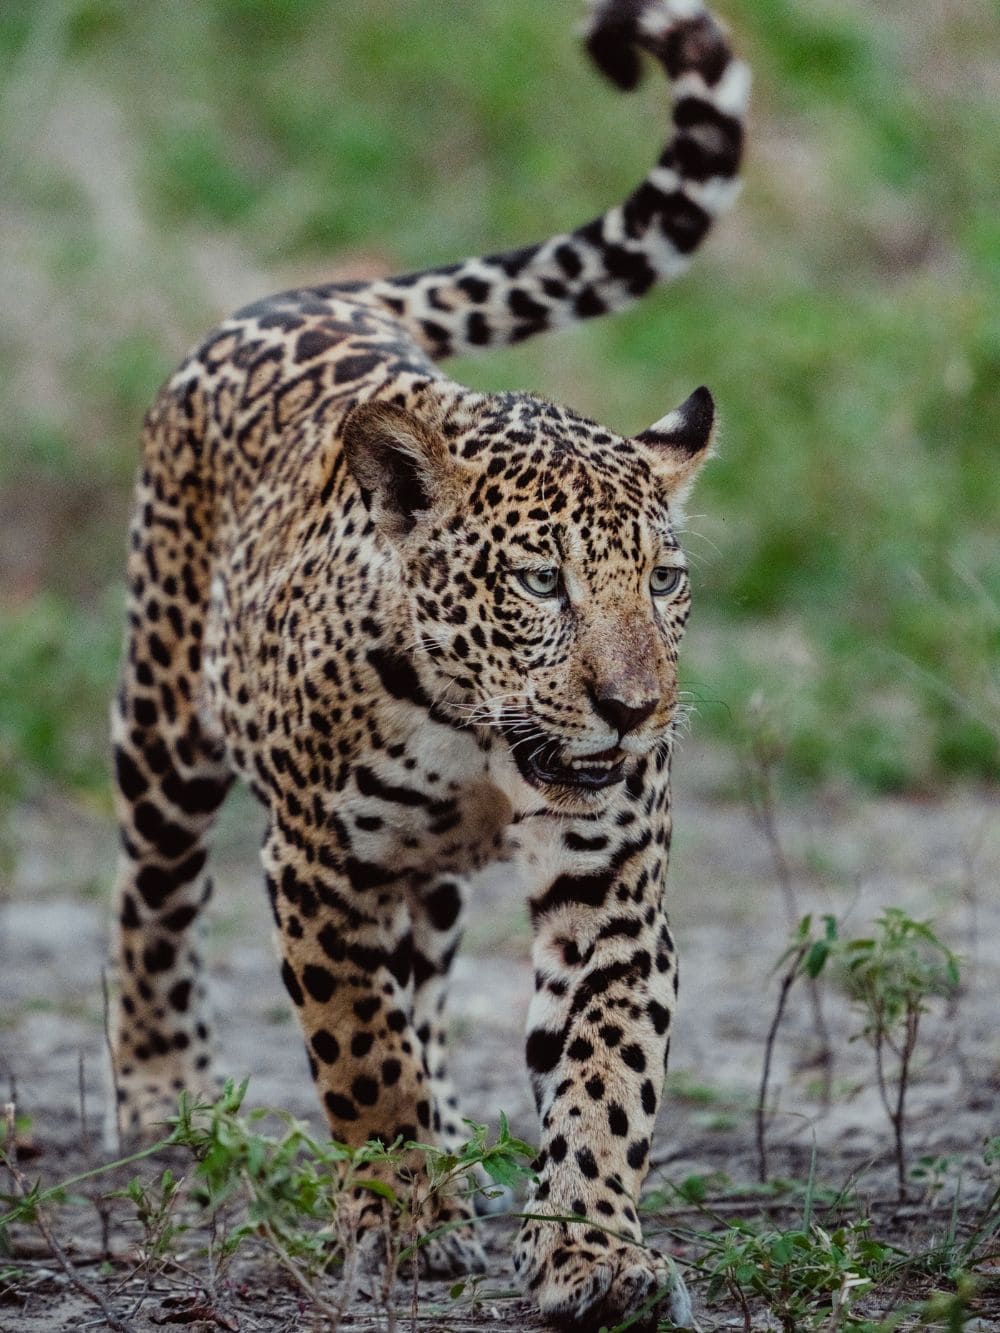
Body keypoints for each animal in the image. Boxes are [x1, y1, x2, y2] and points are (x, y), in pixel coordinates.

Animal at [108, 1, 748, 1326]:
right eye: (541, 583)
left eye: (662, 581)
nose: (634, 709)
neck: (479, 735)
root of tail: (315, 296)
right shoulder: (316, 865)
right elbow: (362, 1051)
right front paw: (404, 1223)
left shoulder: (610, 890)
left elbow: (603, 1077)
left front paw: (592, 1252)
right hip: (163, 721)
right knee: (152, 894)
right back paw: (160, 1096)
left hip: (424, 878)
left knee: (428, 971)